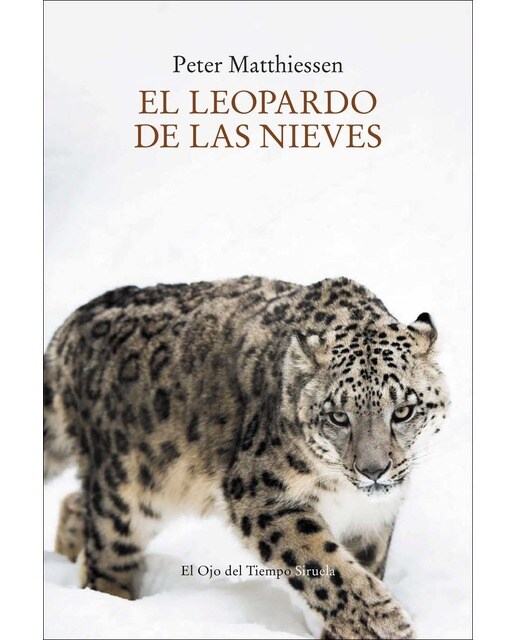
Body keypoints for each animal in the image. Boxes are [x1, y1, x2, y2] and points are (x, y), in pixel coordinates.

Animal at [44, 275, 449, 639]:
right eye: (338, 416)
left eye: (403, 411)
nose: (373, 470)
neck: (345, 495)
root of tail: (71, 324)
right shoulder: (262, 496)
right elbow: (323, 563)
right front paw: (384, 623)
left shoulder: (373, 519)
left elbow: (364, 565)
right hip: (125, 493)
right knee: (106, 554)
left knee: (76, 503)